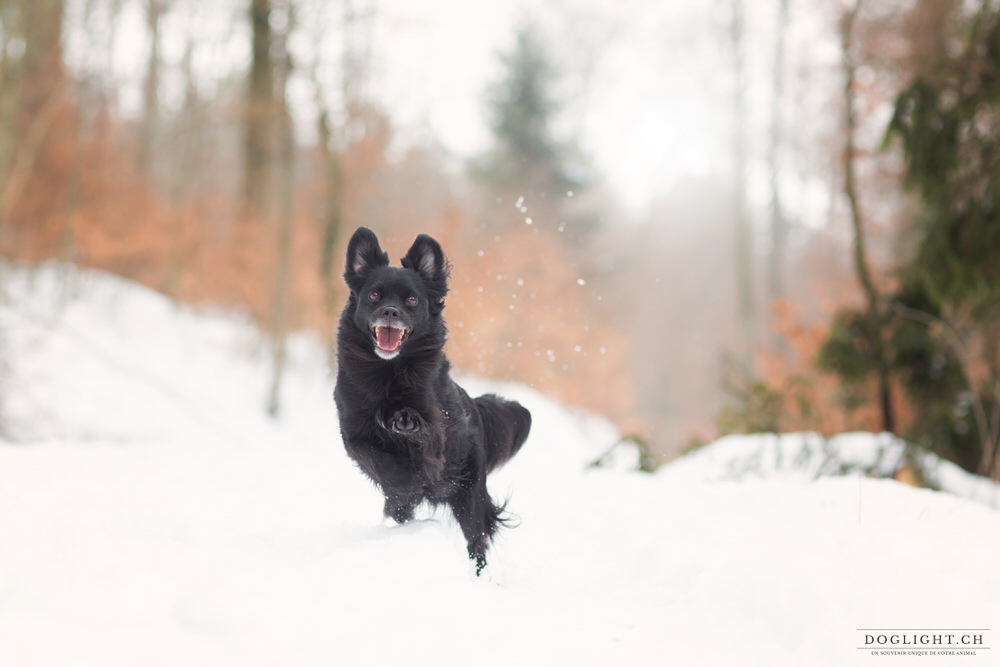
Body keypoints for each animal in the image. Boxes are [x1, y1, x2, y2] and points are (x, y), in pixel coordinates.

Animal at [334, 228, 532, 576]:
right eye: (374, 295)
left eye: (411, 300)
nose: (390, 312)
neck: (388, 372)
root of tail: (474, 405)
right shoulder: (352, 430)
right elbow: (377, 457)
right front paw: (403, 477)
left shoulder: (438, 429)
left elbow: (424, 441)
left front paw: (406, 424)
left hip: (469, 492)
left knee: (477, 538)